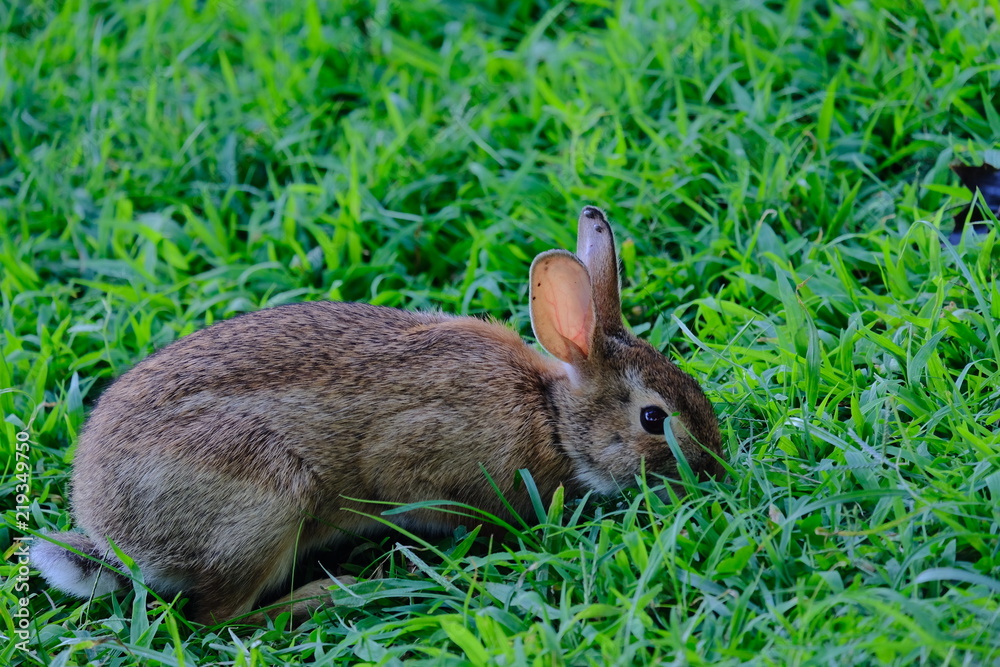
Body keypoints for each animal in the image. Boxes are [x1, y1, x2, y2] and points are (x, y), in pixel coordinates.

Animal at [33, 206, 724, 625]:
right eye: (654, 420)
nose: (716, 472)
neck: (551, 416)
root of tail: (109, 533)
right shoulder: (419, 459)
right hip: (267, 504)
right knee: (219, 619)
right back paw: (328, 593)